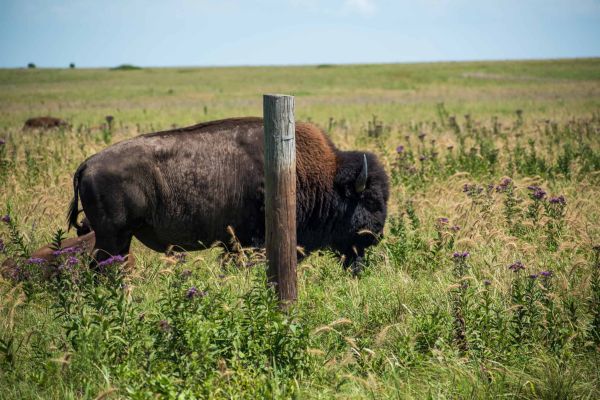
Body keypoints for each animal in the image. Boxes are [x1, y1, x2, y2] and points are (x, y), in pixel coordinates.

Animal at [69, 115, 390, 272]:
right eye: (369, 200)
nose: (375, 235)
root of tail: (88, 164)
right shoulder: (253, 242)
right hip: (112, 237)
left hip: (119, 240)